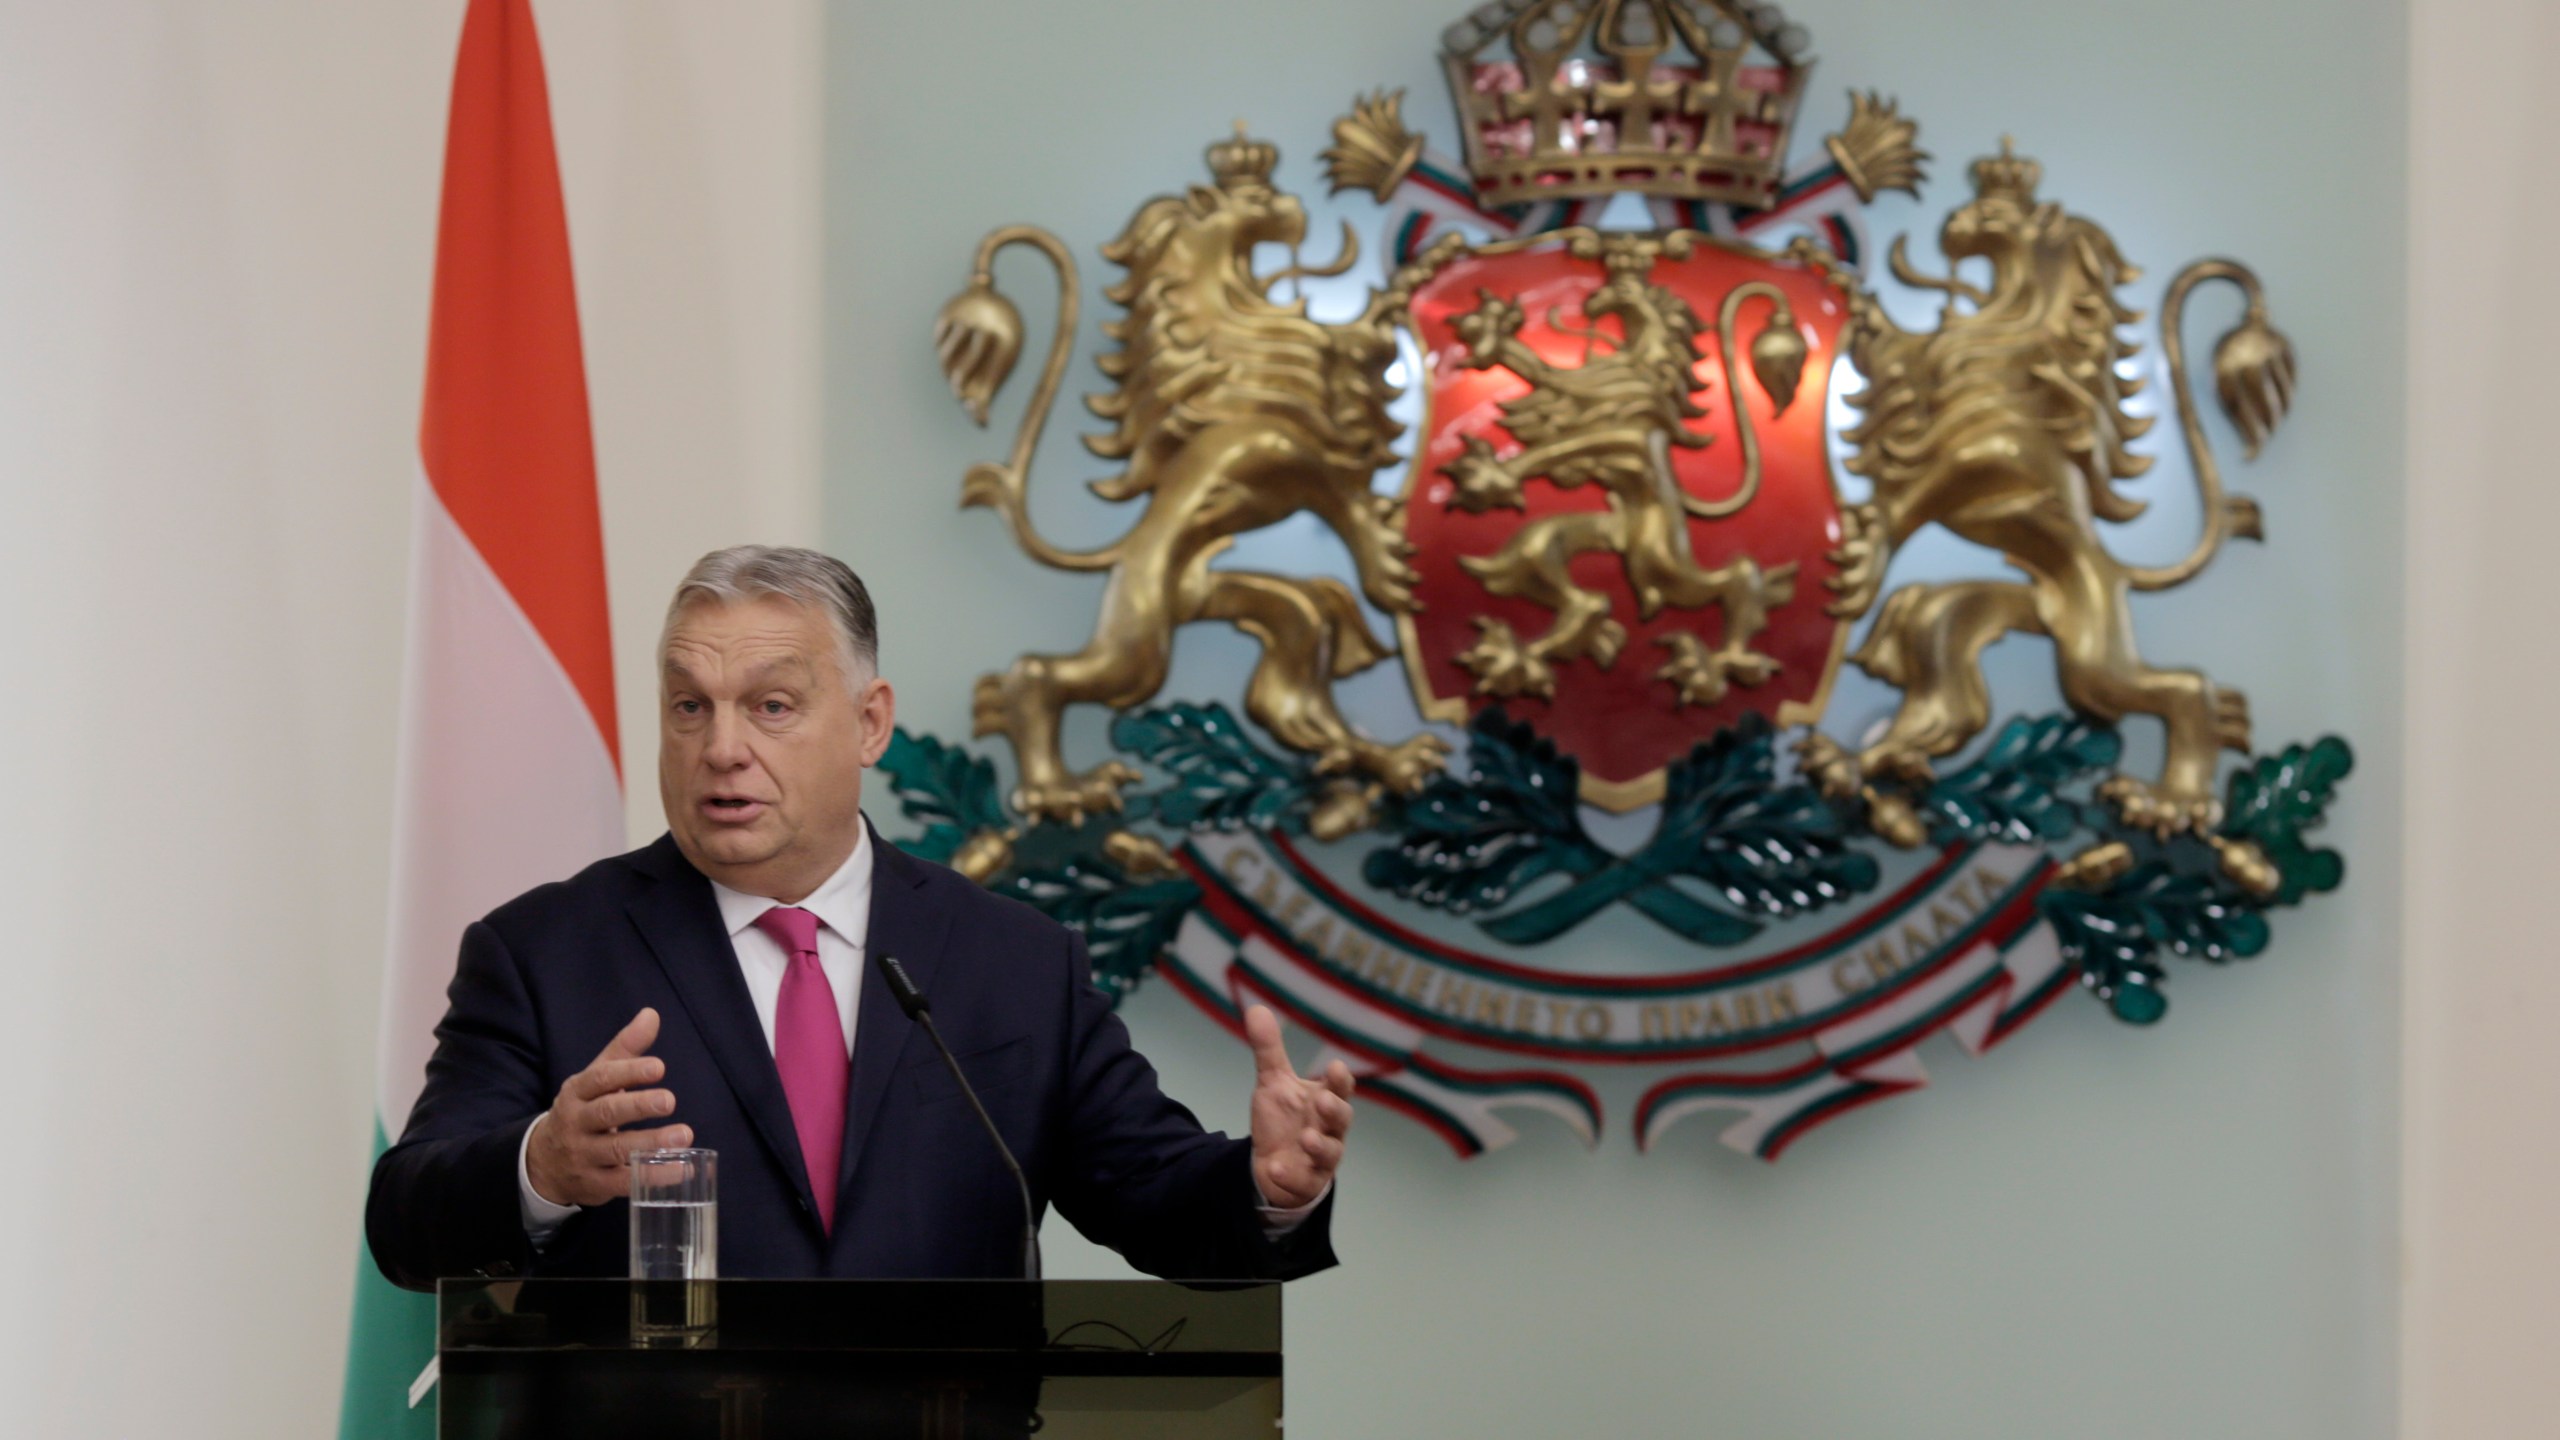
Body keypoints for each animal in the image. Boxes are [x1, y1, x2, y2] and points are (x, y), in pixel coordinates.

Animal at [931, 131, 1454, 840]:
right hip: (1141, 644)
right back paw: (1061, 791)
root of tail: (1121, 557)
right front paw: (1389, 572)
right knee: (1037, 674)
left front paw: (1430, 264)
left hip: (1237, 603)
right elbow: (1350, 502)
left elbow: (1366, 339)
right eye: (1259, 199)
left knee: (1288, 689)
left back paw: (1389, 761)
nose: (1297, 210)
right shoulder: (1295, 458)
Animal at [1433, 229, 1812, 707]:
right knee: (1578, 594)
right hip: (1559, 545)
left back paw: (1711, 664)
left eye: (1624, 290)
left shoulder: (1630, 435)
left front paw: (1493, 474)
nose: (1591, 301)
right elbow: (1546, 381)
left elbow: (1564, 444)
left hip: (1668, 566)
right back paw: (1517, 656)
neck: (1638, 363)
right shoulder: (1582, 399)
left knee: (1739, 579)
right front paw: (1493, 335)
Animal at [1792, 146, 2314, 886]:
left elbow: (1913, 500)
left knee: (2190, 689)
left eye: (1996, 211)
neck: (2002, 337)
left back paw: (2168, 802)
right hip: (1974, 620)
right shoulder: (1916, 380)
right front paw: (1822, 263)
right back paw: (1851, 762)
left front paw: (1863, 559)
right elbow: (1884, 345)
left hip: (2092, 662)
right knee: (1941, 698)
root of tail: (2118, 574)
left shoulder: (1981, 460)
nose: (1953, 222)